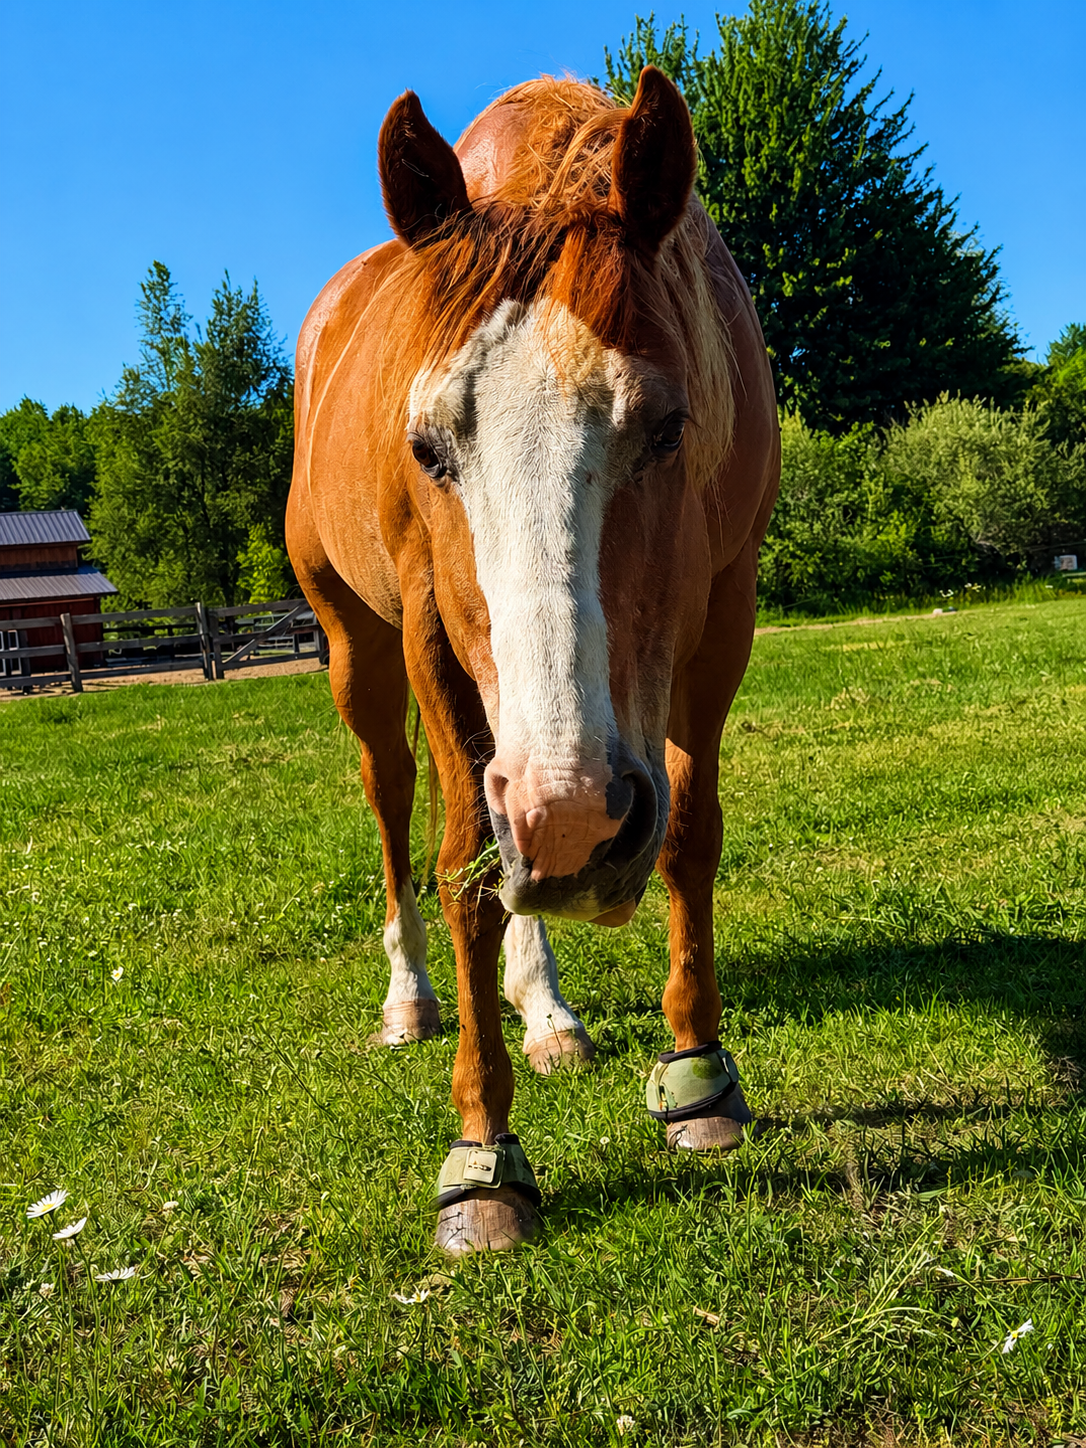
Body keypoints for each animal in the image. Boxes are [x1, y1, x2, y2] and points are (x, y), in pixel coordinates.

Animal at [286, 68, 780, 1253]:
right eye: (428, 446)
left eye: (668, 425)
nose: (571, 820)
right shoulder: (429, 631)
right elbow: (464, 865)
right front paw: (483, 1156)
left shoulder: (724, 613)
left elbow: (691, 835)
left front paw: (699, 1073)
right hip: (357, 649)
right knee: (393, 806)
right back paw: (413, 996)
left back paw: (544, 1002)